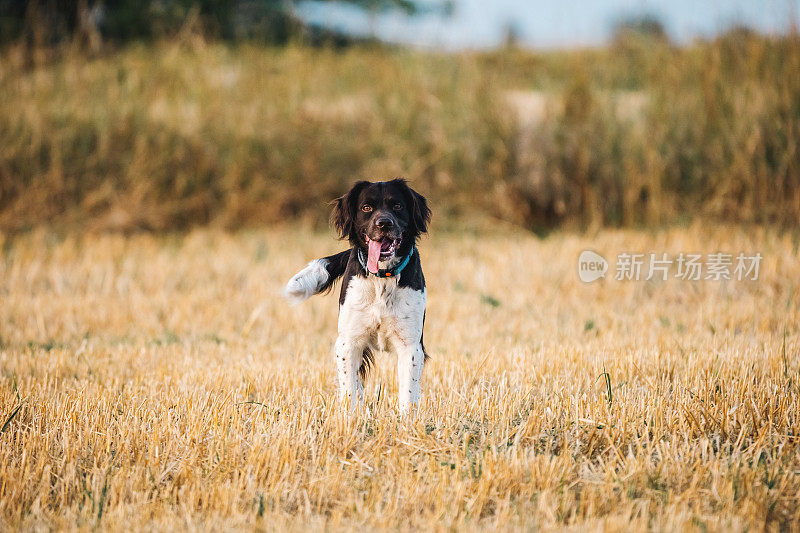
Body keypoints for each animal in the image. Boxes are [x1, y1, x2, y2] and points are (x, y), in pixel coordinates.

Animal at [282, 179, 432, 412]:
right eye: (367, 208)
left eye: (397, 205)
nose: (384, 223)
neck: (382, 278)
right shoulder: (349, 343)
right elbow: (351, 390)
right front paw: (353, 418)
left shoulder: (411, 346)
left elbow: (408, 395)